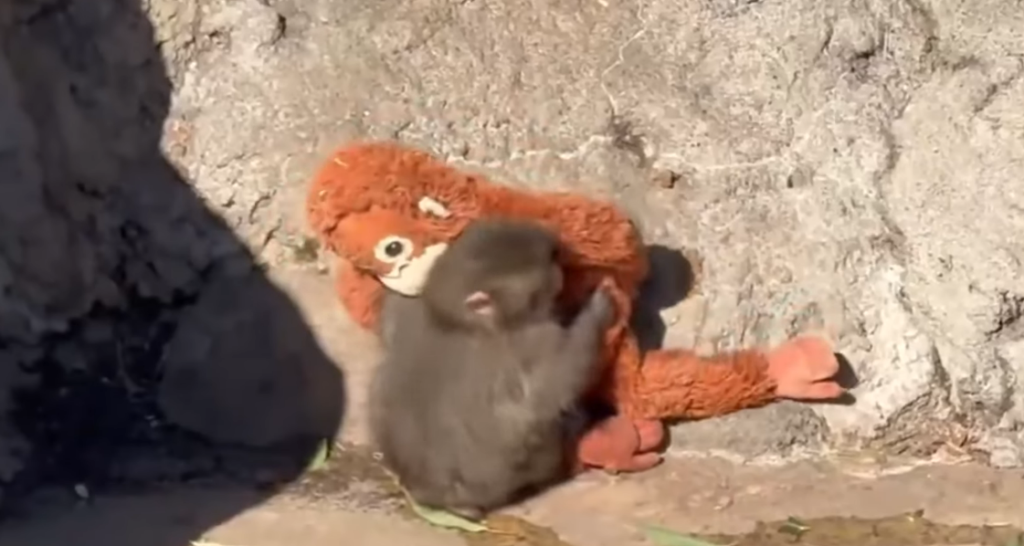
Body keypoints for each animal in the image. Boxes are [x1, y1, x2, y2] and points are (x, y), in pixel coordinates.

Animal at [369, 218, 615, 520]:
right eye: (546, 263)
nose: (557, 248)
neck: (457, 319)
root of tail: (430, 494)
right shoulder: (534, 338)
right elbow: (557, 383)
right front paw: (599, 307)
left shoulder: (411, 310)